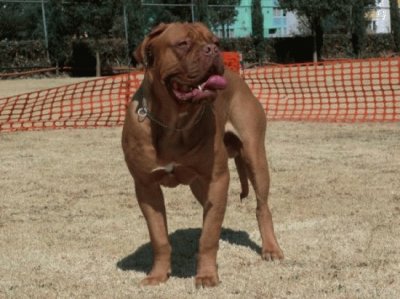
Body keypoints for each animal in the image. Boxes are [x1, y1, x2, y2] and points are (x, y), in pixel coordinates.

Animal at [120, 22, 282, 290]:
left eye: (216, 42)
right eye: (182, 44)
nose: (213, 51)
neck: (174, 123)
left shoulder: (218, 180)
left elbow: (209, 235)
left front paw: (206, 275)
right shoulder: (146, 187)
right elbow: (159, 237)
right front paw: (157, 275)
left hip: (255, 157)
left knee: (263, 207)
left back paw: (271, 248)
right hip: (199, 185)